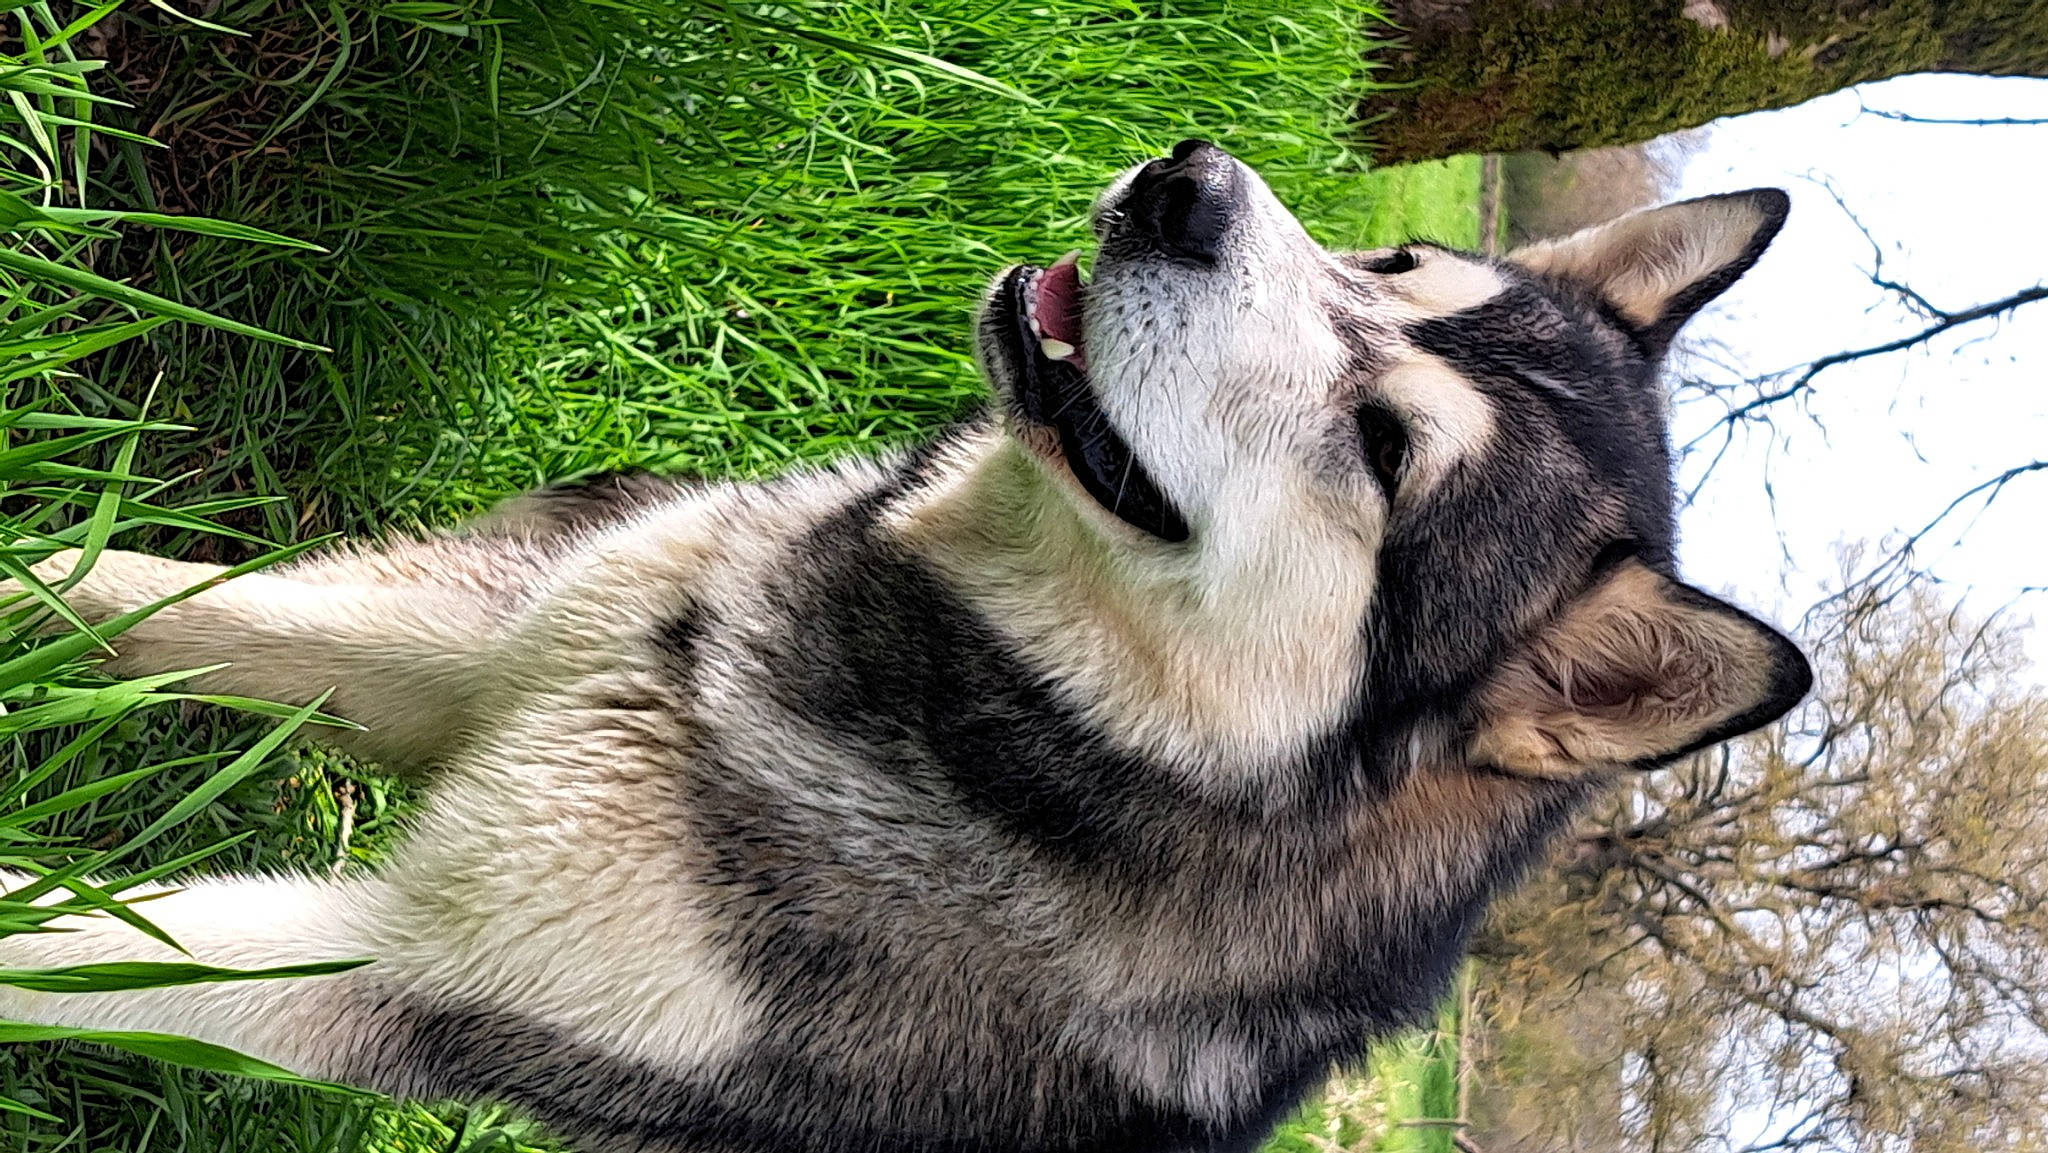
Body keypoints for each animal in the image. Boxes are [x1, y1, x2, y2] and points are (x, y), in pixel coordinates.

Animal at [1, 141, 1808, 1153]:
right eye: (1391, 259)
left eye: (1383, 447)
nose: (1189, 186)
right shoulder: (482, 633)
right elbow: (125, 589)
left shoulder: (395, 973)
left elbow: (72, 942)